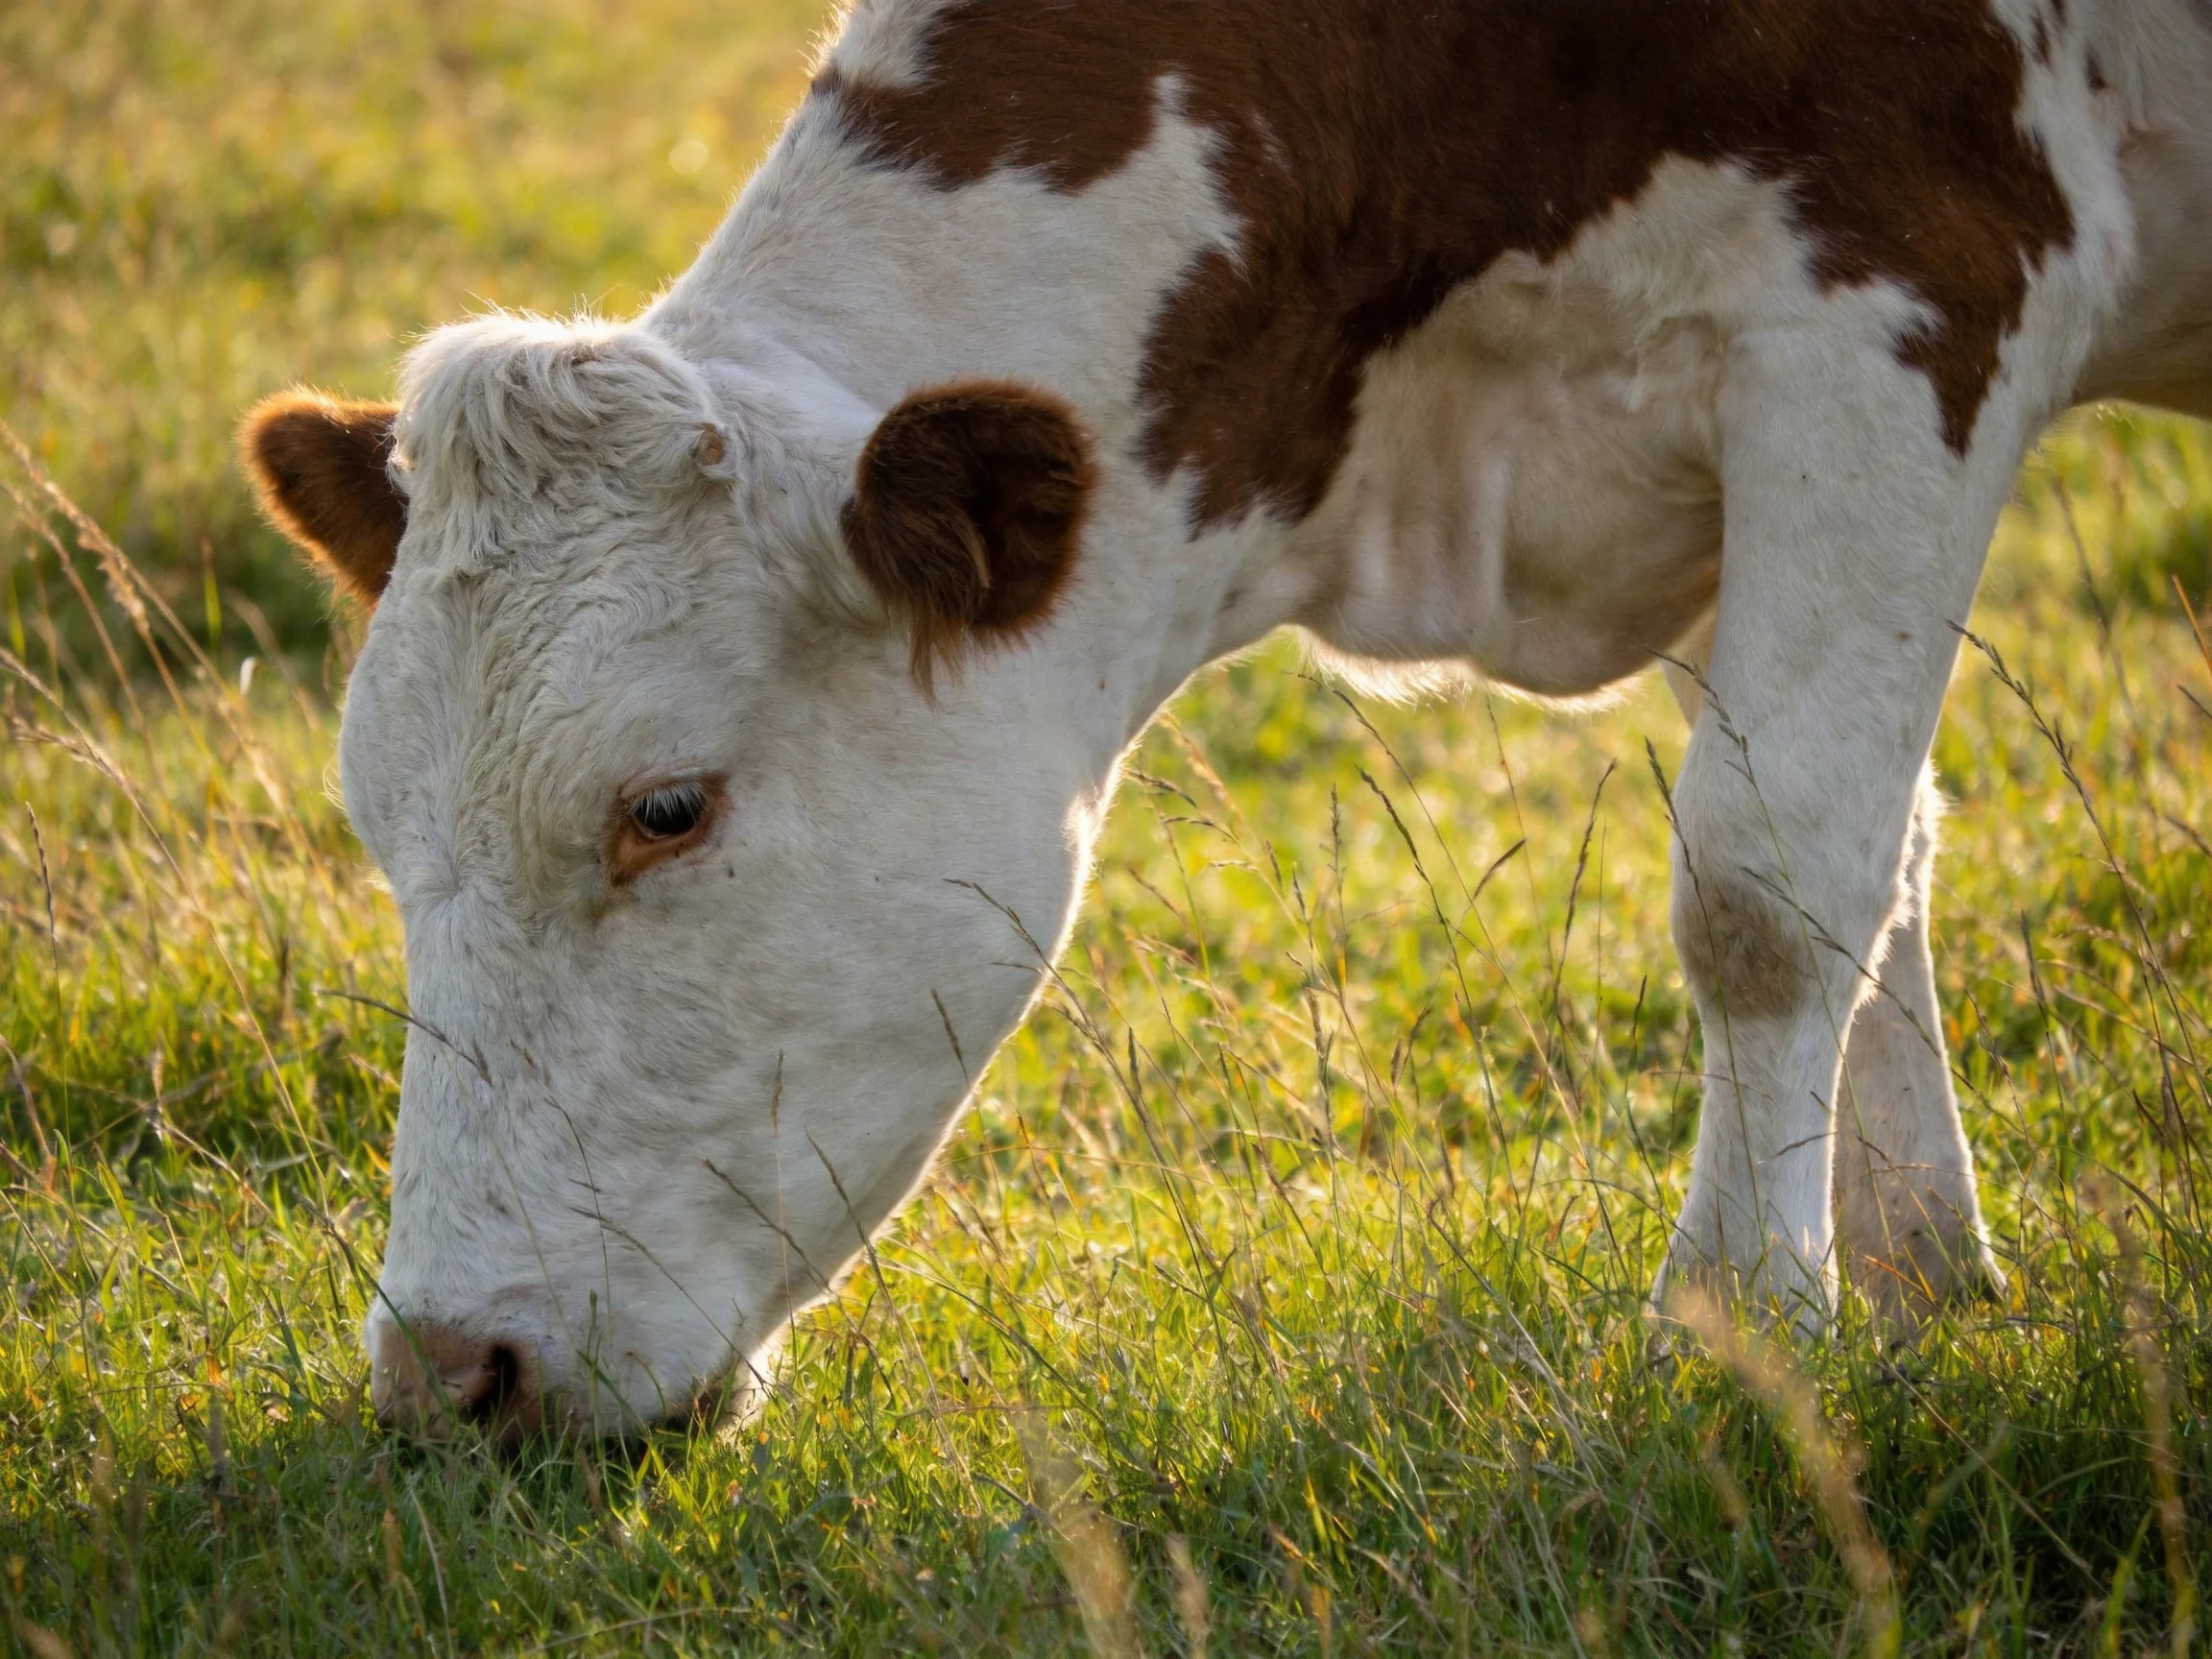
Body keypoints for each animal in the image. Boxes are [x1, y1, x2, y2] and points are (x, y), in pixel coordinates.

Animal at [240, 0, 2212, 1439]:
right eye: (383, 838)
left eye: (666, 807)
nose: (447, 1373)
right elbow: (1891, 848)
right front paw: (1919, 1273)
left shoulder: (1901, 288)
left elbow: (1768, 880)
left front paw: (1740, 1332)